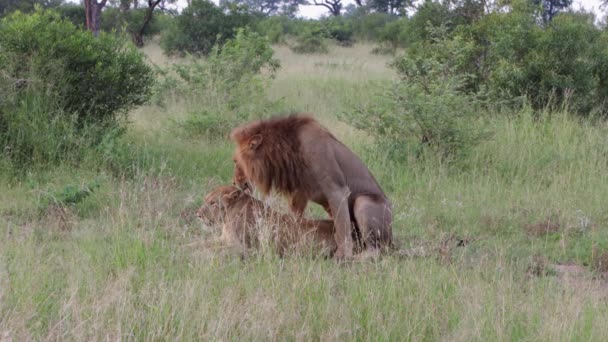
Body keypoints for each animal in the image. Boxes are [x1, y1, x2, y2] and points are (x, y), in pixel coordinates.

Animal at [196, 184, 334, 256]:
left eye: (213, 203)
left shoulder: (243, 248)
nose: (198, 215)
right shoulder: (223, 239)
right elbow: (199, 243)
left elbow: (213, 250)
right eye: (205, 200)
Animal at [230, 113, 392, 258]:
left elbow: (342, 228)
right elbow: (295, 219)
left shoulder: (337, 190)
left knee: (376, 250)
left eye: (235, 161)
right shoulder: (299, 194)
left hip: (363, 202)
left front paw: (342, 256)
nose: (234, 182)